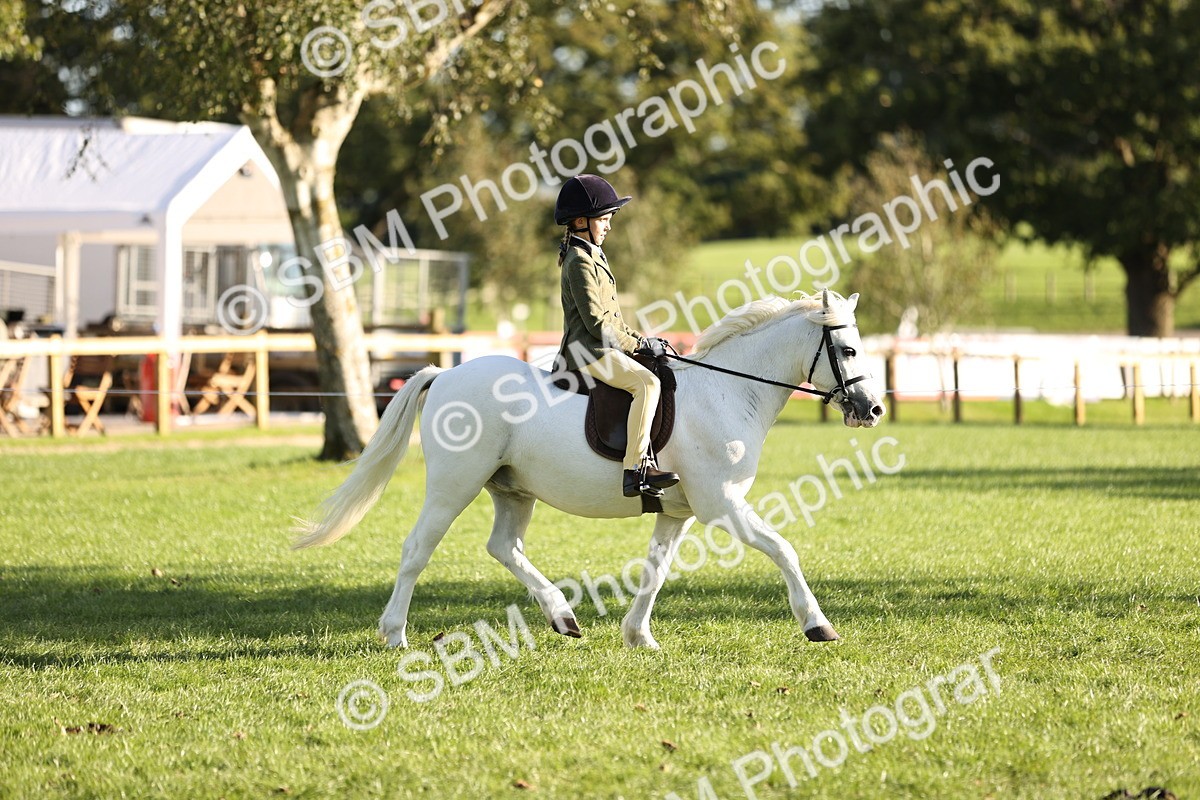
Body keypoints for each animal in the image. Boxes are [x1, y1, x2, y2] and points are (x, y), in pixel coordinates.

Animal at [295, 290, 886, 649]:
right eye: (849, 349)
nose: (873, 409)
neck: (728, 389)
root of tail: (444, 375)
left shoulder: (679, 512)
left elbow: (655, 570)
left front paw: (638, 636)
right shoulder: (722, 505)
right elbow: (784, 549)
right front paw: (818, 624)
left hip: (512, 490)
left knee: (503, 546)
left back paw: (563, 616)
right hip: (453, 485)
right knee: (418, 549)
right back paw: (395, 634)